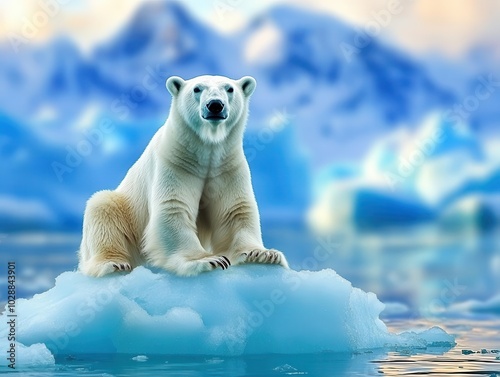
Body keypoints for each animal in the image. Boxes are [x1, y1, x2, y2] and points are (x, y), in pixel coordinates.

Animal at [78, 75, 290, 276]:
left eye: (229, 88)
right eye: (197, 88)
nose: (215, 105)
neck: (206, 152)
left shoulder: (227, 166)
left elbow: (234, 211)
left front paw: (263, 254)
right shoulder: (175, 162)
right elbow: (173, 207)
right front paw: (208, 260)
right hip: (126, 210)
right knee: (103, 208)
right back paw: (114, 264)